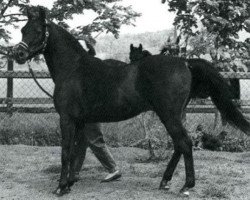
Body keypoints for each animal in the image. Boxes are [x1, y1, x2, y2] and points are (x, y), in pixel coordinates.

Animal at [13, 6, 250, 197]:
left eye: (37, 31)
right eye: (23, 29)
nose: (19, 54)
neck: (73, 69)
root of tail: (184, 62)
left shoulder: (67, 119)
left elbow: (65, 152)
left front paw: (61, 187)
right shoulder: (80, 121)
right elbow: (76, 152)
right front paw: (70, 183)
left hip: (169, 115)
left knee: (185, 143)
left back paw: (185, 186)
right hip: (173, 115)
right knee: (179, 145)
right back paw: (165, 181)